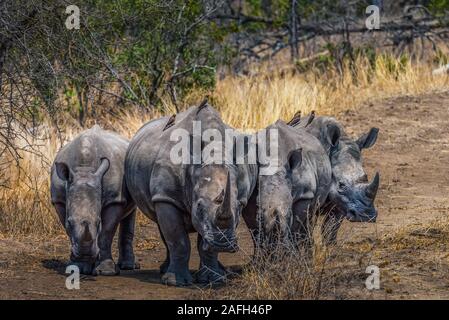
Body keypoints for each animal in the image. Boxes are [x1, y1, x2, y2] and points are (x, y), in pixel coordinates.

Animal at [50, 125, 137, 276]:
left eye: (98, 223)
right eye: (69, 222)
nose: (85, 254)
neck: (84, 170)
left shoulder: (114, 200)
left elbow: (106, 232)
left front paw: (106, 271)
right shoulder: (59, 200)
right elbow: (67, 230)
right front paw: (78, 267)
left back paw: (127, 267)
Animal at [124, 102, 256, 284]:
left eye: (237, 208)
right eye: (198, 207)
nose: (223, 244)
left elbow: (205, 246)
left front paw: (212, 280)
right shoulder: (166, 196)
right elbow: (178, 240)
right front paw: (175, 282)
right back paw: (165, 271)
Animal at [242, 120, 332, 248]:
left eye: (289, 214)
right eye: (260, 212)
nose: (275, 231)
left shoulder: (305, 194)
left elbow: (295, 226)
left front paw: (289, 251)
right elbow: (255, 231)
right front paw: (263, 251)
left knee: (310, 217)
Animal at [288, 112, 380, 242]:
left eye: (366, 177)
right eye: (341, 184)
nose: (366, 215)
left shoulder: (342, 203)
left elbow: (330, 230)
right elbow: (306, 230)